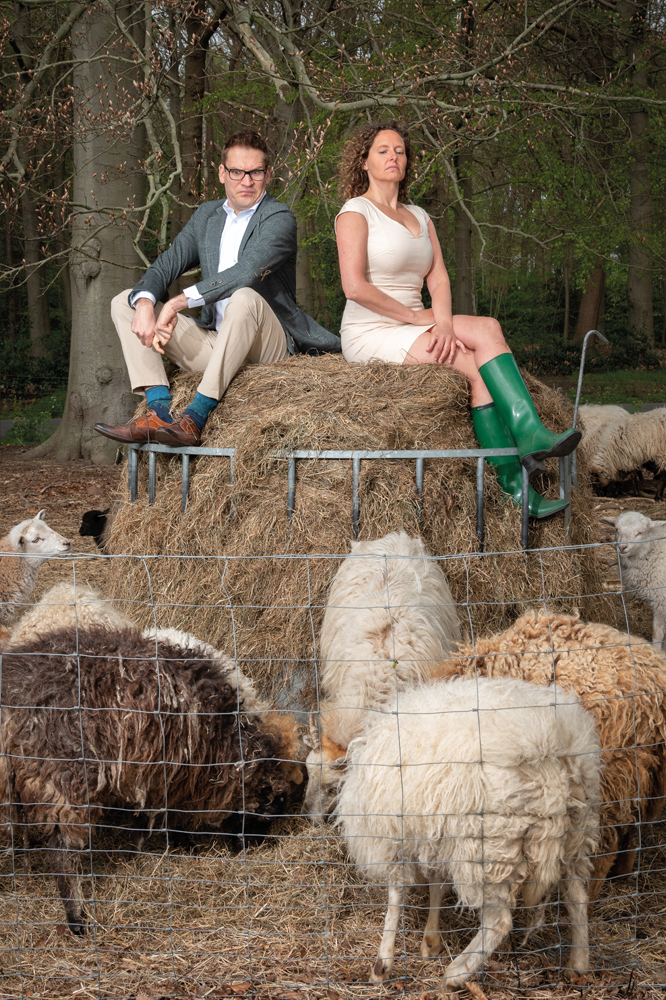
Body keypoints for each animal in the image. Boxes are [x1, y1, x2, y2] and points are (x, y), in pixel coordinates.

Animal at [0, 625, 306, 936]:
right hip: (66, 777)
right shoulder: (171, 772)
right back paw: (77, 918)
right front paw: (177, 844)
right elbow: (169, 813)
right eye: (270, 807)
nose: (251, 848)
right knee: (62, 851)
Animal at [337, 675, 601, 990]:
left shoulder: (392, 834)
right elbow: (436, 884)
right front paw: (431, 940)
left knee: (499, 922)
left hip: (488, 849)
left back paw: (456, 973)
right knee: (577, 897)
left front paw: (382, 963)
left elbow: (396, 894)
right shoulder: (434, 829)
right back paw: (579, 965)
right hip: (576, 832)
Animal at [437, 609, 666, 898]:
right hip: (641, 775)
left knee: (603, 850)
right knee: (634, 829)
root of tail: (653, 689)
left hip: (607, 782)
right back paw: (623, 873)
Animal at [602, 511, 666, 650]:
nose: (622, 547)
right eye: (617, 529)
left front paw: (657, 651)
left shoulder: (661, 601)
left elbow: (657, 634)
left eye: (640, 532)